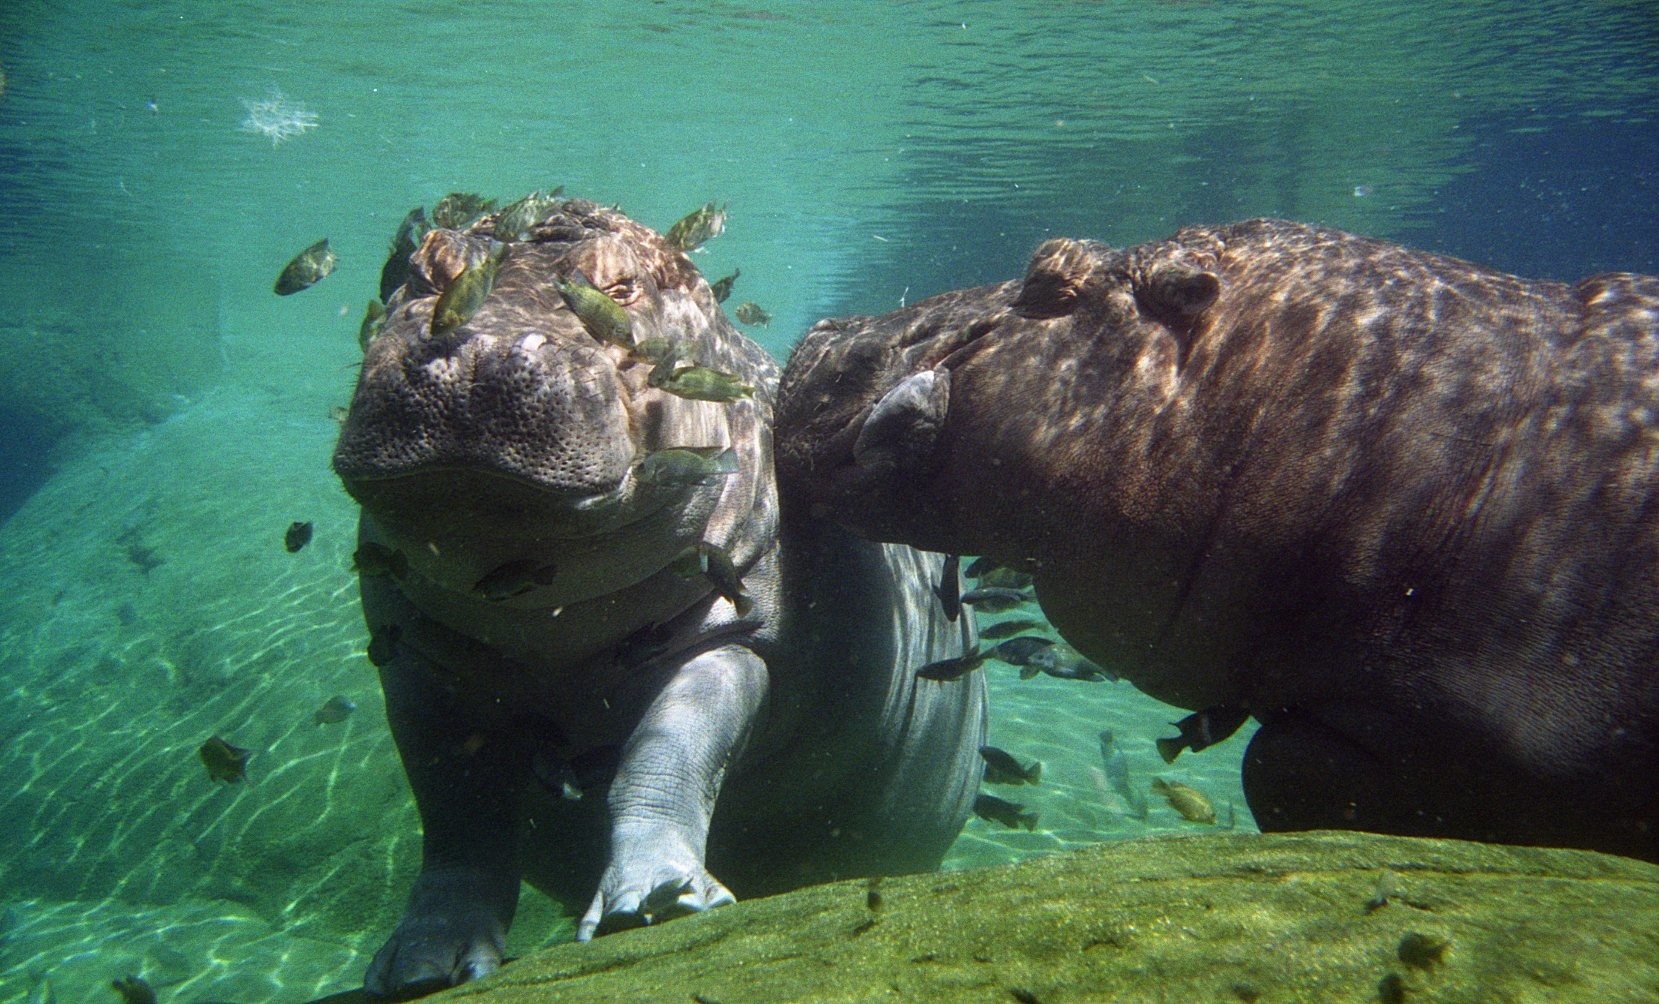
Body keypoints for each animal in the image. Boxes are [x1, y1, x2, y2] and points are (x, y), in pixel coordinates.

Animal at [333, 198, 985, 997]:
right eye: (422, 269)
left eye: (622, 286)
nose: (475, 349)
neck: (542, 612)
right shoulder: (420, 661)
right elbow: (455, 811)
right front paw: (420, 966)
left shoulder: (731, 634)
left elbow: (664, 754)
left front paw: (657, 904)